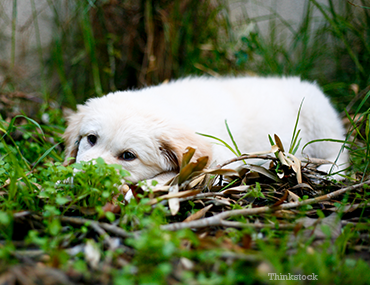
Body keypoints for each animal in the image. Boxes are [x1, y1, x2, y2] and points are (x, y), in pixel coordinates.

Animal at [62, 75, 348, 182]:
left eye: (128, 156)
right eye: (91, 139)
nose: (85, 175)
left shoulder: (220, 162)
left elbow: (168, 177)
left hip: (319, 117)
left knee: (341, 153)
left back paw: (330, 171)